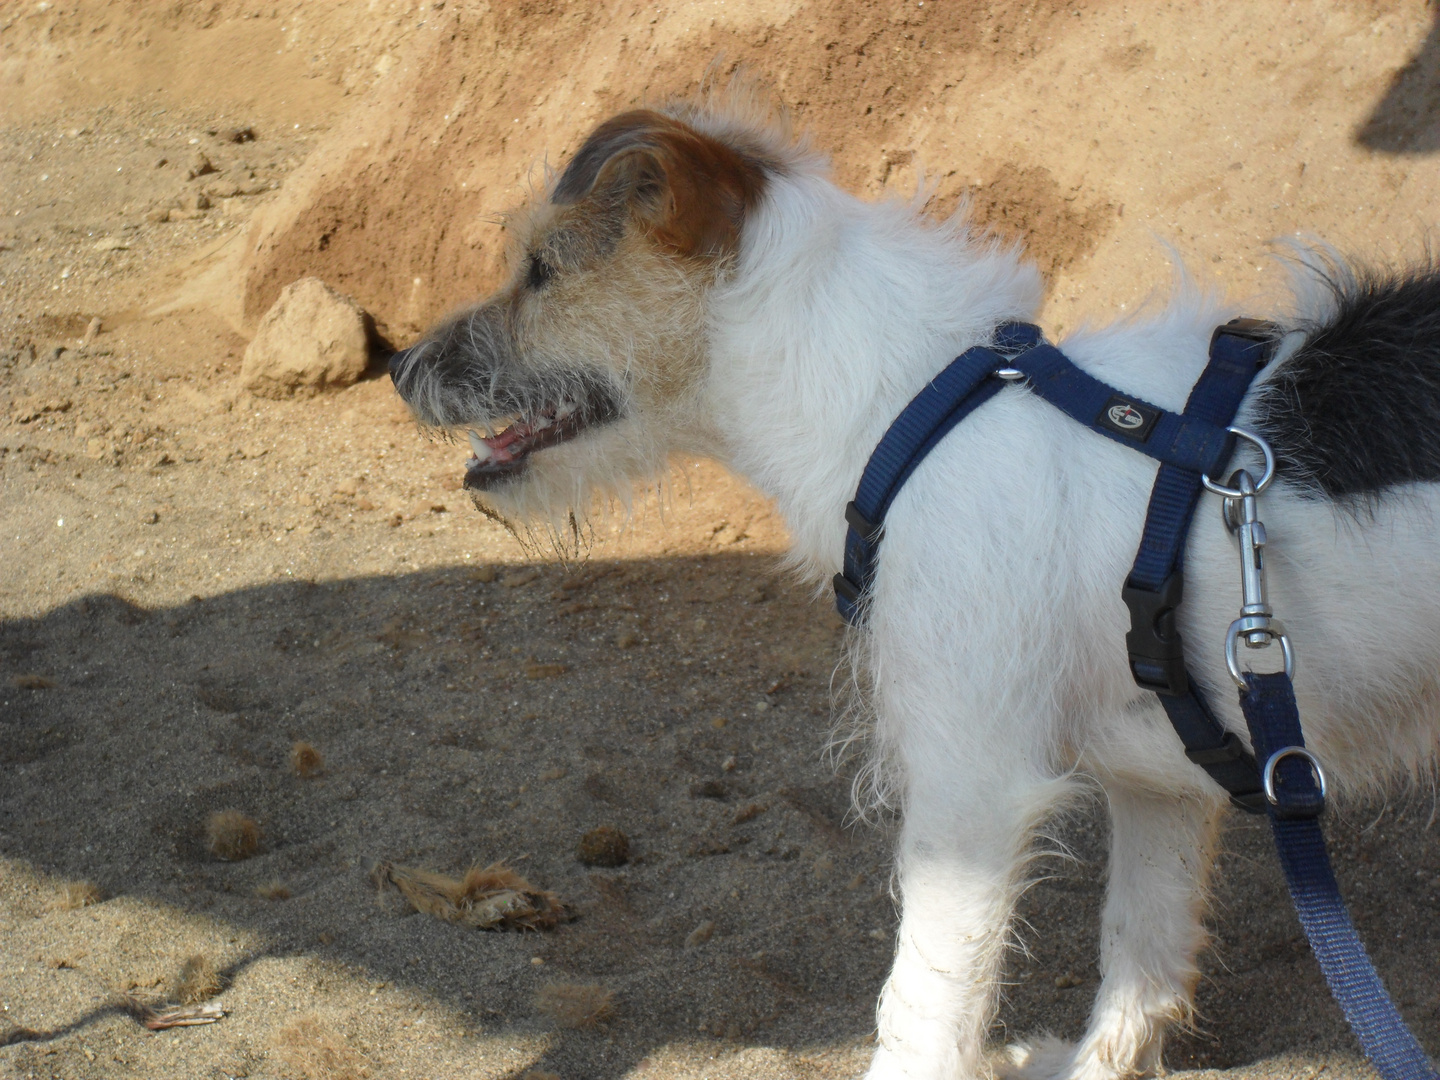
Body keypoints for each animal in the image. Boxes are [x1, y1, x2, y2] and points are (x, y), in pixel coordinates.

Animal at [385, 80, 1440, 1077]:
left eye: (542, 269)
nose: (398, 369)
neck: (909, 406)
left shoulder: (968, 790)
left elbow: (924, 1005)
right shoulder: (1163, 781)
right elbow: (1139, 940)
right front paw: (1093, 1066)